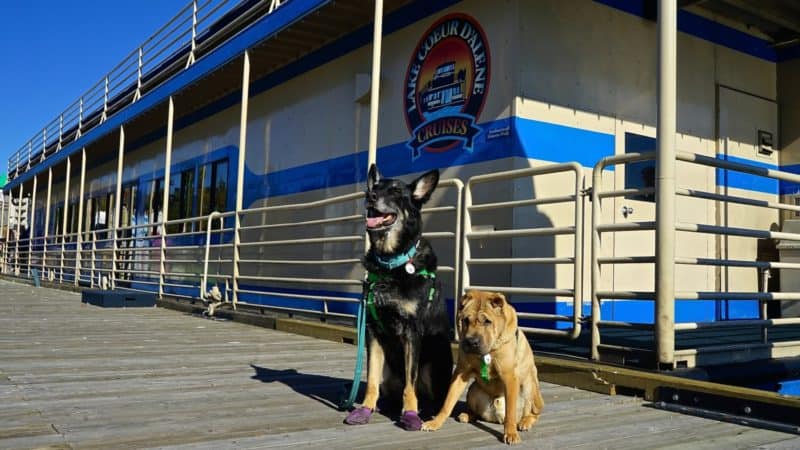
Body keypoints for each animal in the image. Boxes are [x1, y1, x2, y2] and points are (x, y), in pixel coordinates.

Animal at [346, 163, 456, 430]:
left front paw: (410, 413)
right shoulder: (373, 332)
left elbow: (410, 383)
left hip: (433, 364)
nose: (370, 196)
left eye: (396, 191)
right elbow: (371, 379)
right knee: (388, 388)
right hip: (389, 370)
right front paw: (364, 409)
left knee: (430, 395)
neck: (392, 264)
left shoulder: (412, 332)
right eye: (375, 187)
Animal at [418, 292, 544, 442]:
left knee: (533, 412)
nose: (472, 342)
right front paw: (435, 422)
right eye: (466, 320)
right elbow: (448, 402)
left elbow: (510, 412)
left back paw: (525, 422)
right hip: (473, 390)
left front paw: (511, 433)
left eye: (487, 321)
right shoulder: (461, 372)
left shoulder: (509, 376)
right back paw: (467, 415)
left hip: (529, 386)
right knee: (476, 412)